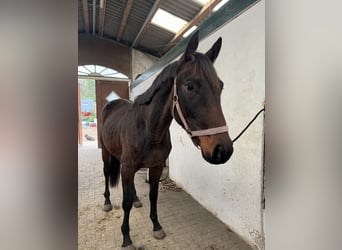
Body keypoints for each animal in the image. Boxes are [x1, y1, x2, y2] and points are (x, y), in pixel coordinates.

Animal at [99, 30, 232, 249]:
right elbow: (125, 203)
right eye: (190, 86)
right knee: (106, 174)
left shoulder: (157, 166)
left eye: (220, 86)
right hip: (106, 153)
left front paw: (156, 226)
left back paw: (137, 199)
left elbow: (153, 196)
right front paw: (126, 237)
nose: (223, 150)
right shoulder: (127, 166)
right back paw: (107, 202)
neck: (148, 130)